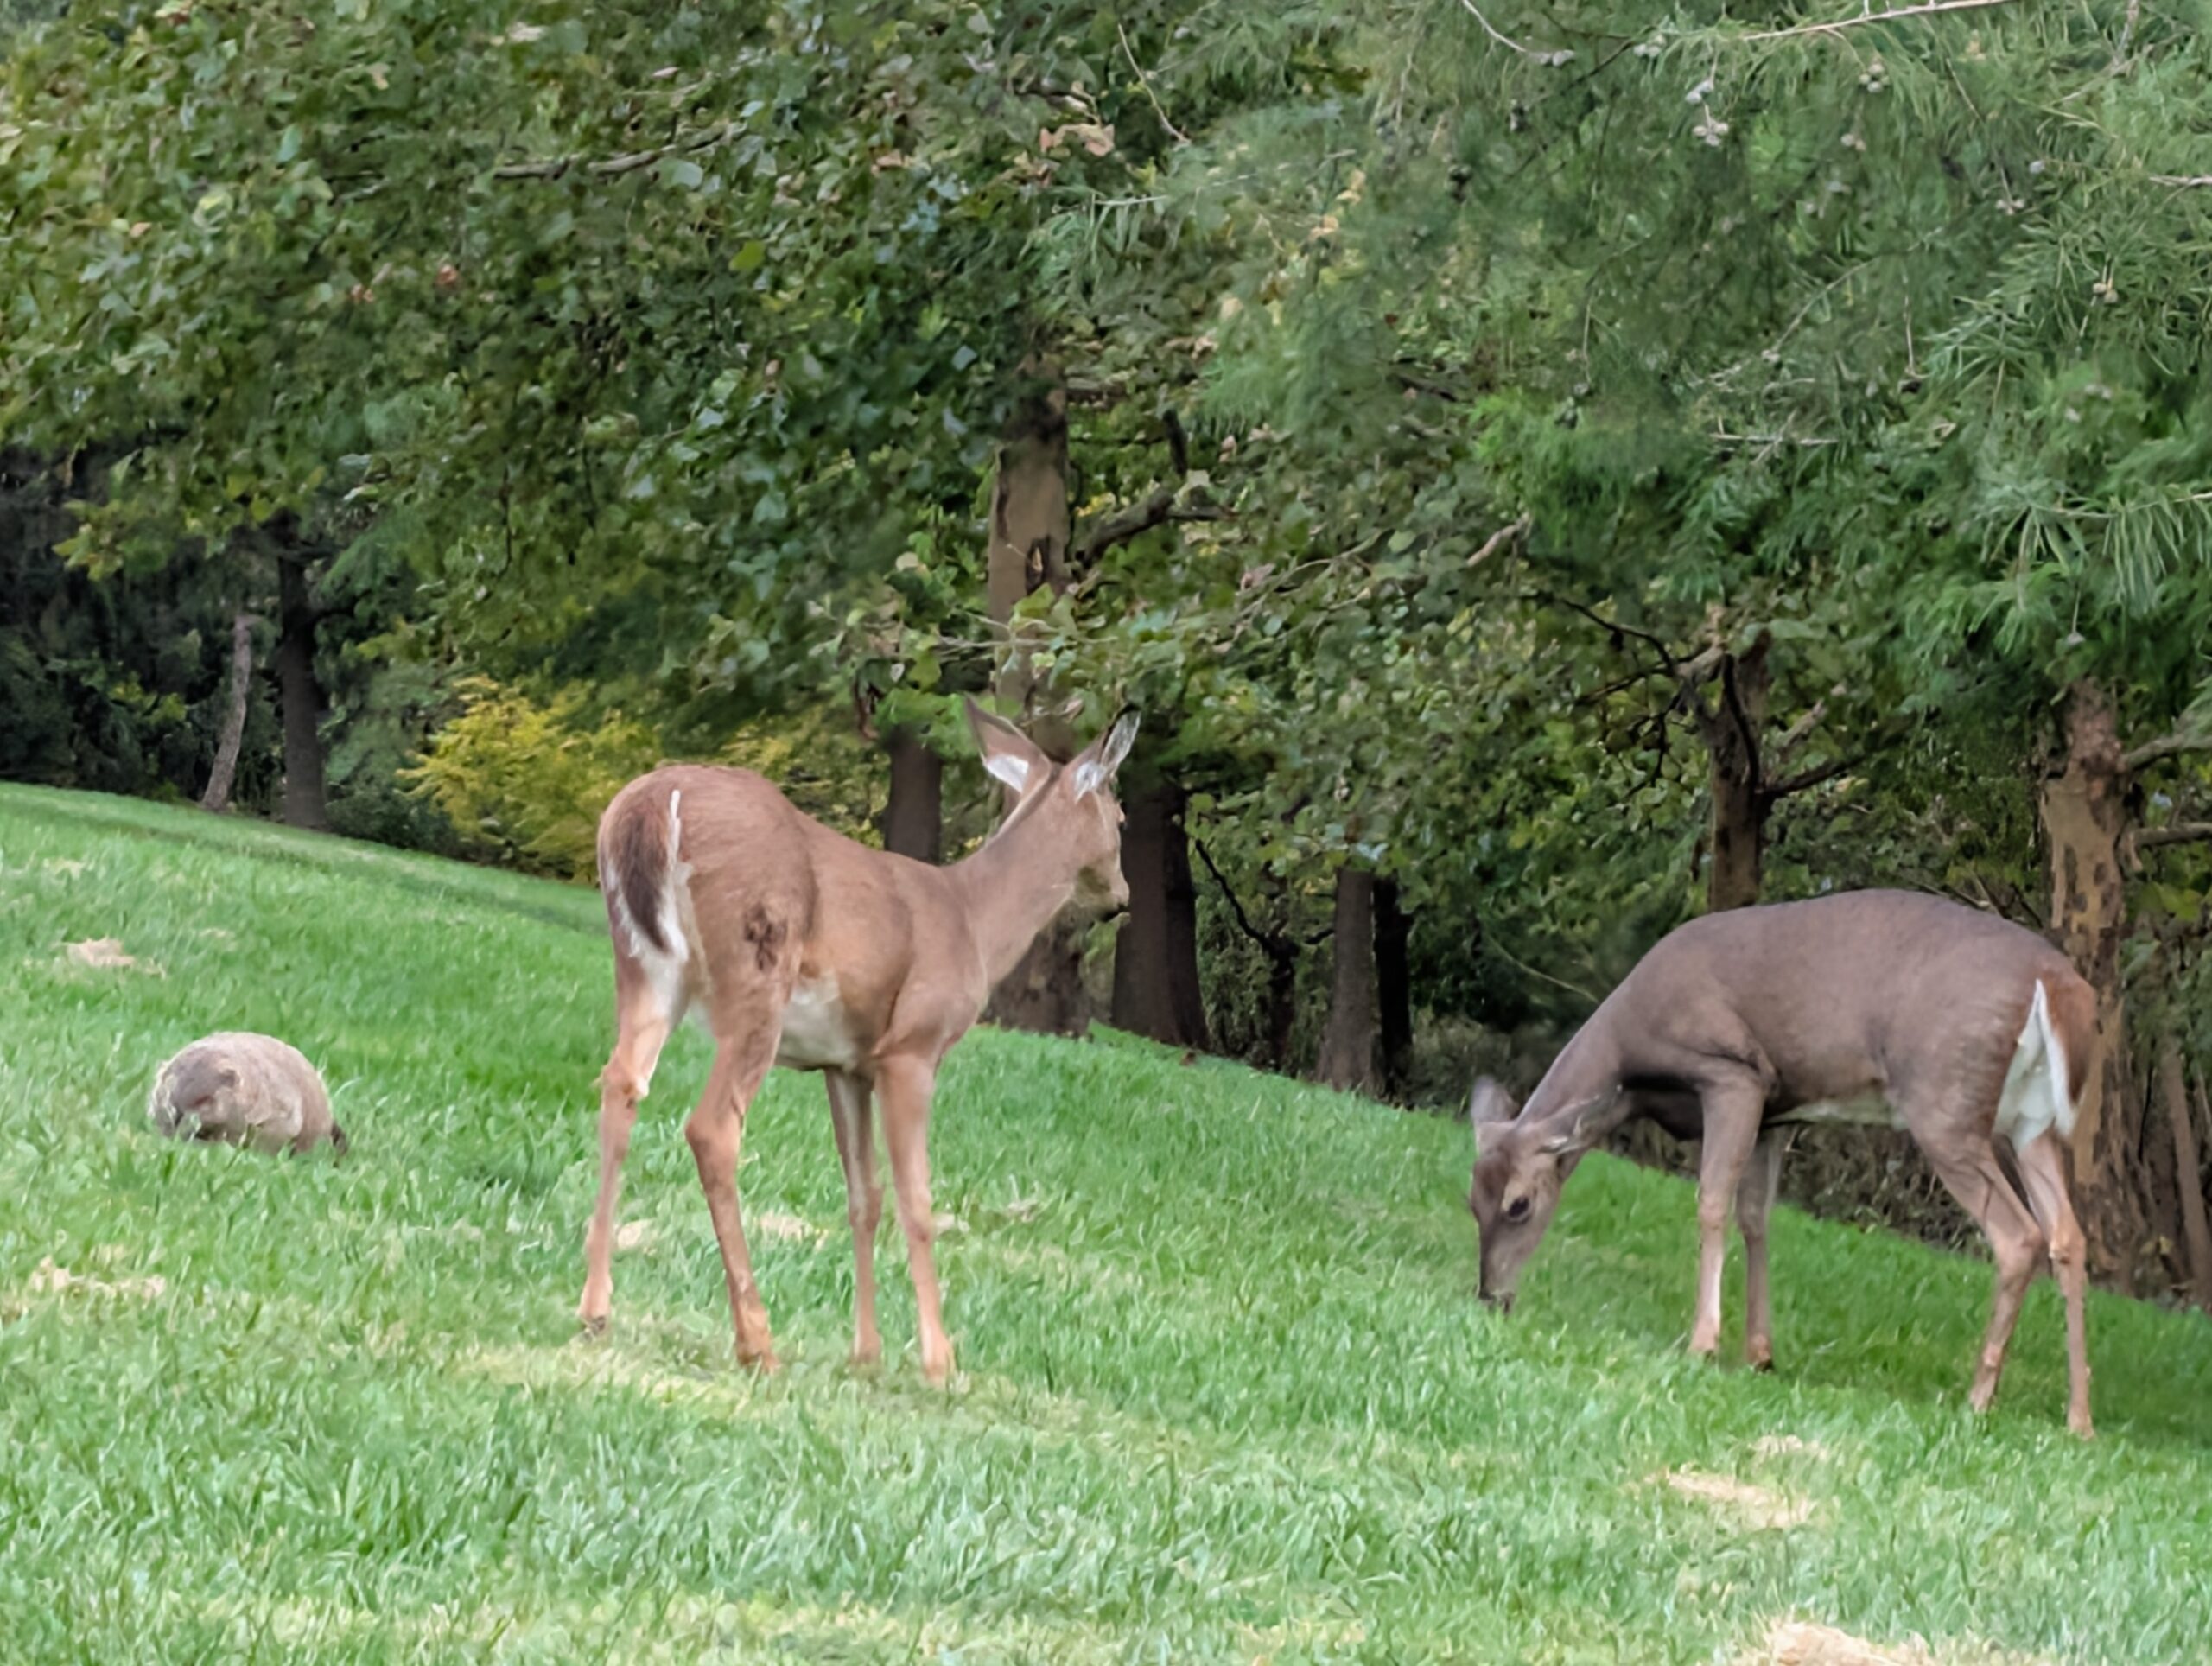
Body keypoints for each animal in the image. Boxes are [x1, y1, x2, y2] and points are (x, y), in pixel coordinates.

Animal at [579, 698, 1139, 1385]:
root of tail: (654, 805)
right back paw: (757, 1342)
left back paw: (596, 1309)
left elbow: (863, 1198)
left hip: (644, 964)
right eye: (1120, 817)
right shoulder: (912, 1049)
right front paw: (939, 1361)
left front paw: (866, 1352)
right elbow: (916, 1201)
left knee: (621, 1083)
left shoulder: (845, 1064)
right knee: (712, 1128)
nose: (1121, 895)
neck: (976, 923)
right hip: (757, 969)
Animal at [1467, 889, 2098, 1437]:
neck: (1631, 1061)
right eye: (1470, 1201)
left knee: (2018, 1236)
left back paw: (1978, 1398)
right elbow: (1757, 1219)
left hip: (1945, 1104)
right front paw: (1760, 1353)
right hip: (2027, 1122)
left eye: (1520, 1204)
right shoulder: (1778, 1114)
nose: (1491, 1298)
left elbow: (1712, 1202)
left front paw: (1703, 1343)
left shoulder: (1736, 1074)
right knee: (2069, 1234)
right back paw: (2079, 1420)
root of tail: (2058, 986)